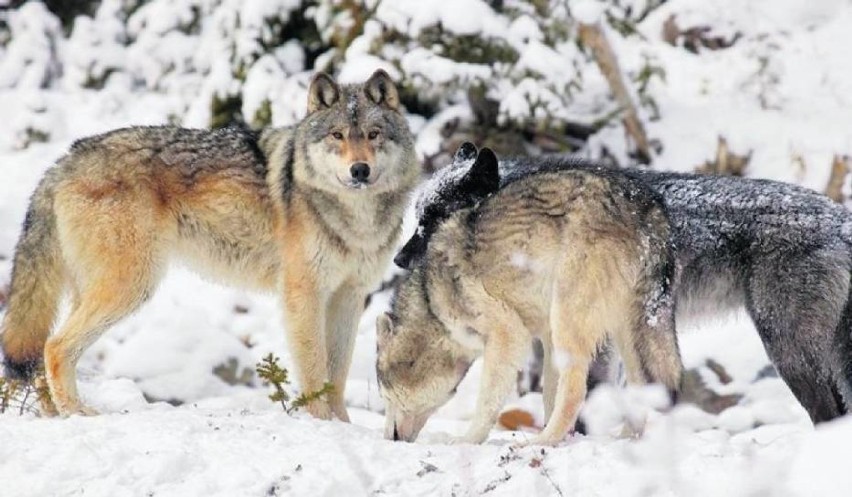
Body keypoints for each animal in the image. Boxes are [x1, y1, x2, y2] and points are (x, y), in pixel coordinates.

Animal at [1, 69, 422, 418]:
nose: (359, 170)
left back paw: (54, 415)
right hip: (130, 287)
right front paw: (323, 426)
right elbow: (315, 373)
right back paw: (77, 414)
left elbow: (337, 375)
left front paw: (344, 426)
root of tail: (65, 160)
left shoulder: (349, 296)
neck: (354, 217)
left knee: (46, 351)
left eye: (373, 134)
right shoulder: (304, 294)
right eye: (338, 136)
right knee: (54, 347)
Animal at [376, 145, 684, 444]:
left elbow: (489, 402)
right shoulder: (544, 338)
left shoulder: (509, 334)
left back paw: (541, 442)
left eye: (382, 392)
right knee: (642, 388)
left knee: (576, 391)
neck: (432, 301)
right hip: (626, 333)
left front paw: (467, 441)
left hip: (570, 322)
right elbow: (548, 395)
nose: (389, 438)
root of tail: (650, 212)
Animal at [396, 143, 852, 426]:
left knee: (829, 412)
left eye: (434, 220)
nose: (398, 261)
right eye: (418, 217)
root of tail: (840, 219)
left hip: (788, 350)